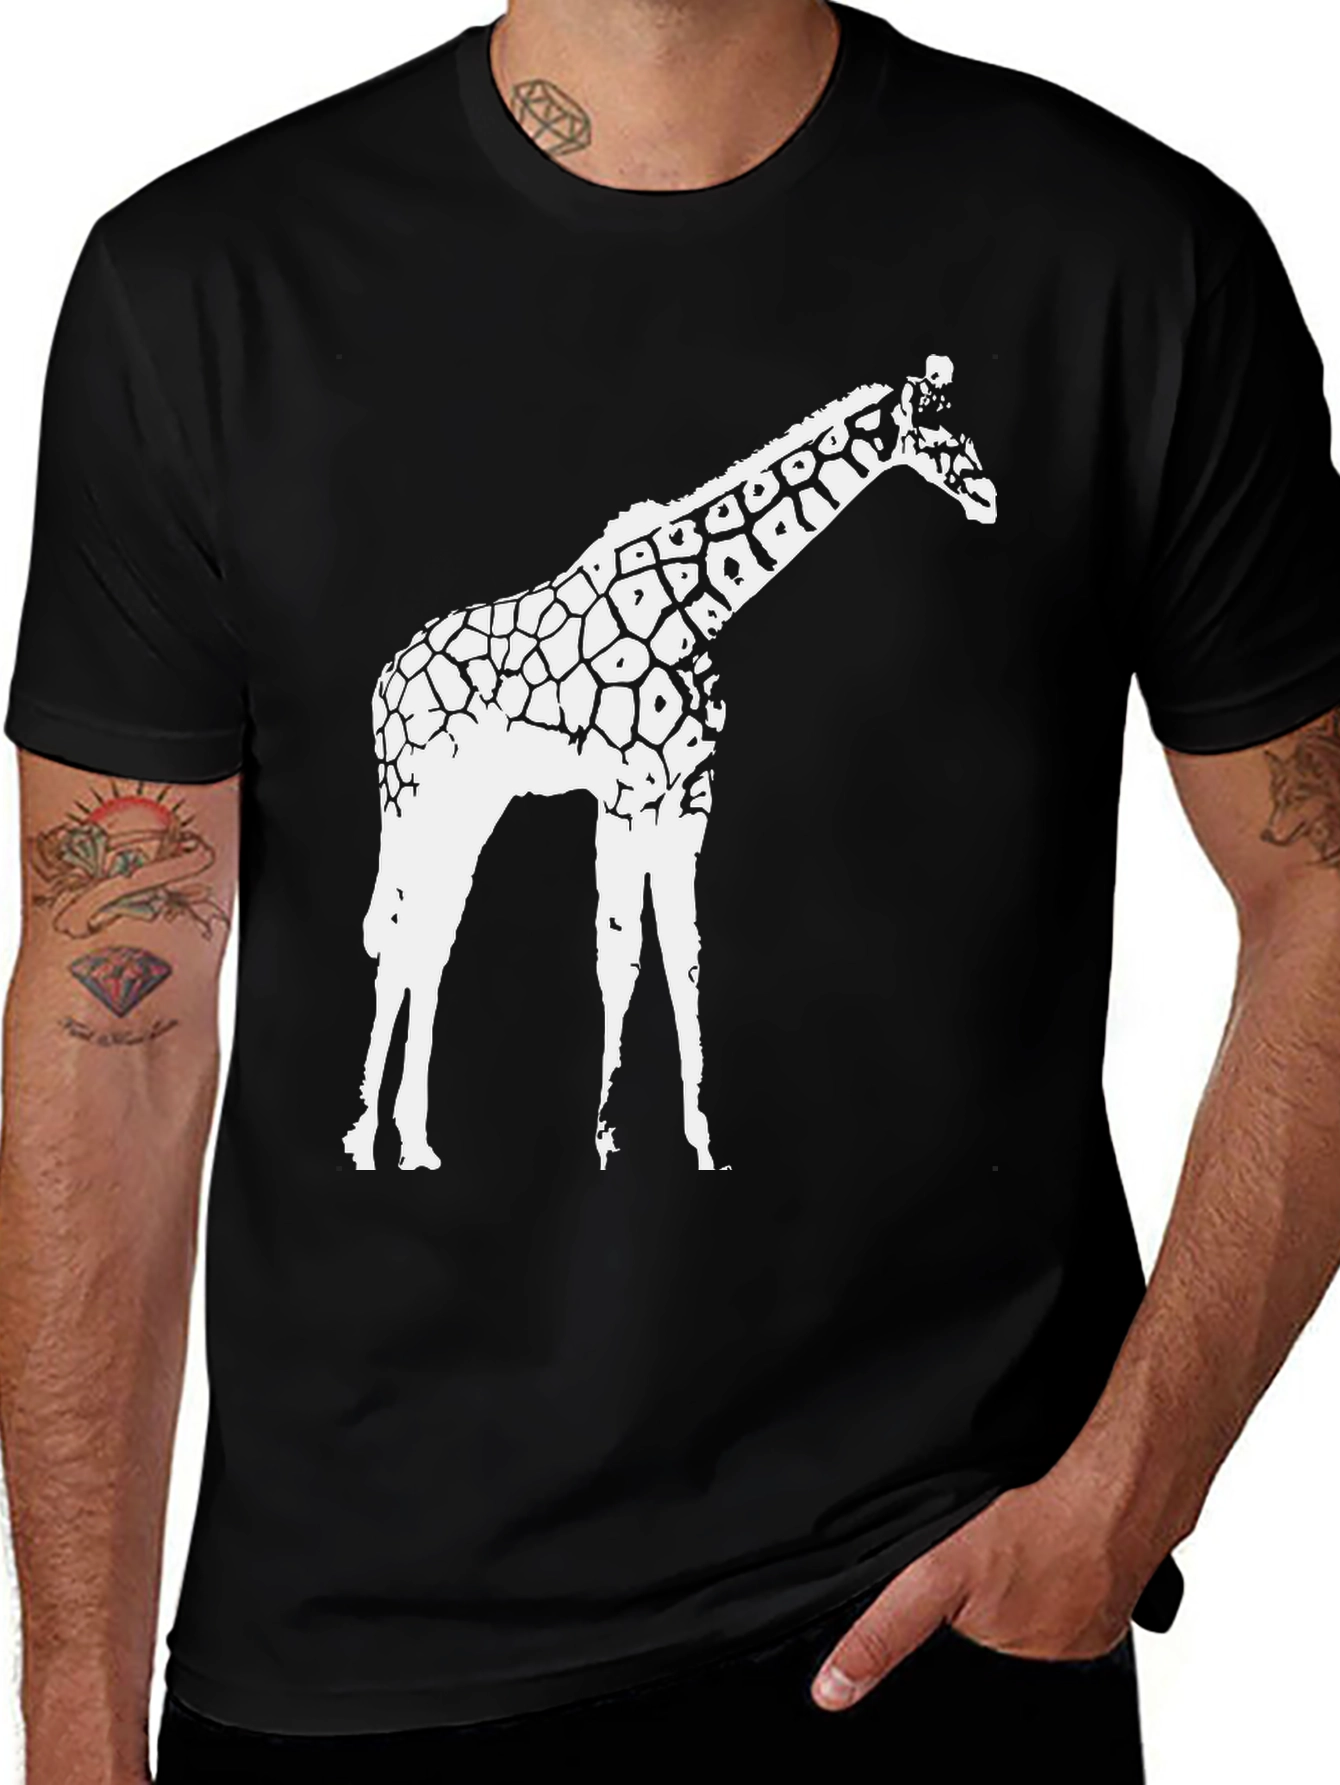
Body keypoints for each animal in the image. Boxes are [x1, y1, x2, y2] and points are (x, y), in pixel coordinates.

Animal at [345, 356, 998, 1173]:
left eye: (963, 423)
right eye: (937, 432)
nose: (989, 497)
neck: (697, 607)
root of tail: (383, 678)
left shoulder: (690, 793)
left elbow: (684, 954)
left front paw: (703, 1140)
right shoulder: (627, 791)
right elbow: (620, 952)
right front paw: (605, 1138)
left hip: (468, 809)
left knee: (430, 937)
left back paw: (416, 1142)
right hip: (411, 794)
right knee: (398, 930)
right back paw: (364, 1139)